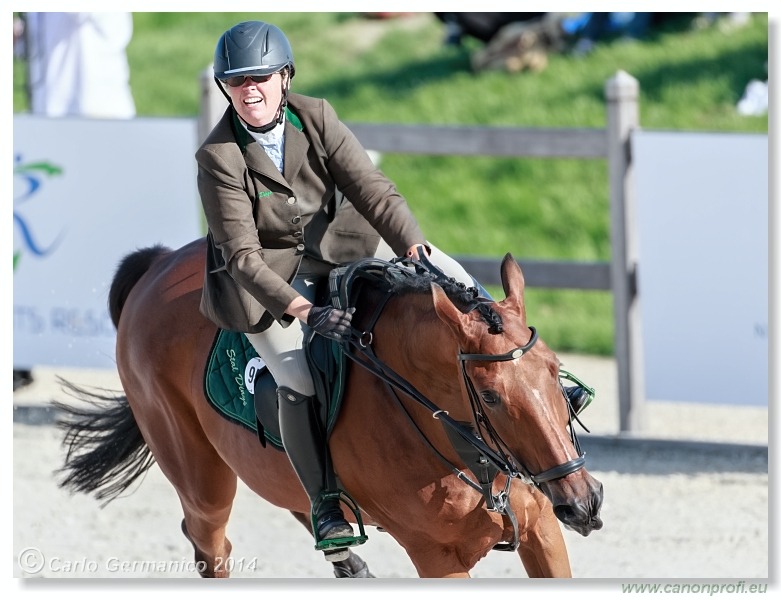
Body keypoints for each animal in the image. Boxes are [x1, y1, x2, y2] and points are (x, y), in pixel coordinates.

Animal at [54, 238, 604, 576]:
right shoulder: (437, 557)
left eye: (555, 370)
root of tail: (158, 265)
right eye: (490, 395)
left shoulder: (543, 531)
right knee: (210, 543)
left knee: (308, 506)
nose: (583, 503)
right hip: (201, 481)